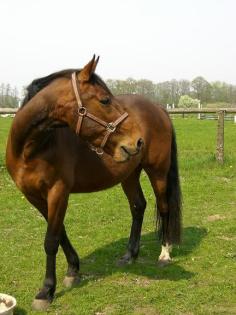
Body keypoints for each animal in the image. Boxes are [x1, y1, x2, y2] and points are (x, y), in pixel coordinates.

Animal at [6, 56, 183, 312]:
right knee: (138, 207)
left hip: (157, 172)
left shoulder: (58, 192)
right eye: (105, 100)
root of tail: (159, 108)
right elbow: (59, 233)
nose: (137, 141)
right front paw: (73, 271)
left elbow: (51, 240)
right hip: (129, 174)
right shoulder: (35, 197)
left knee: (164, 207)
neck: (31, 147)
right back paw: (130, 254)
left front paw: (46, 291)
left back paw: (165, 253)